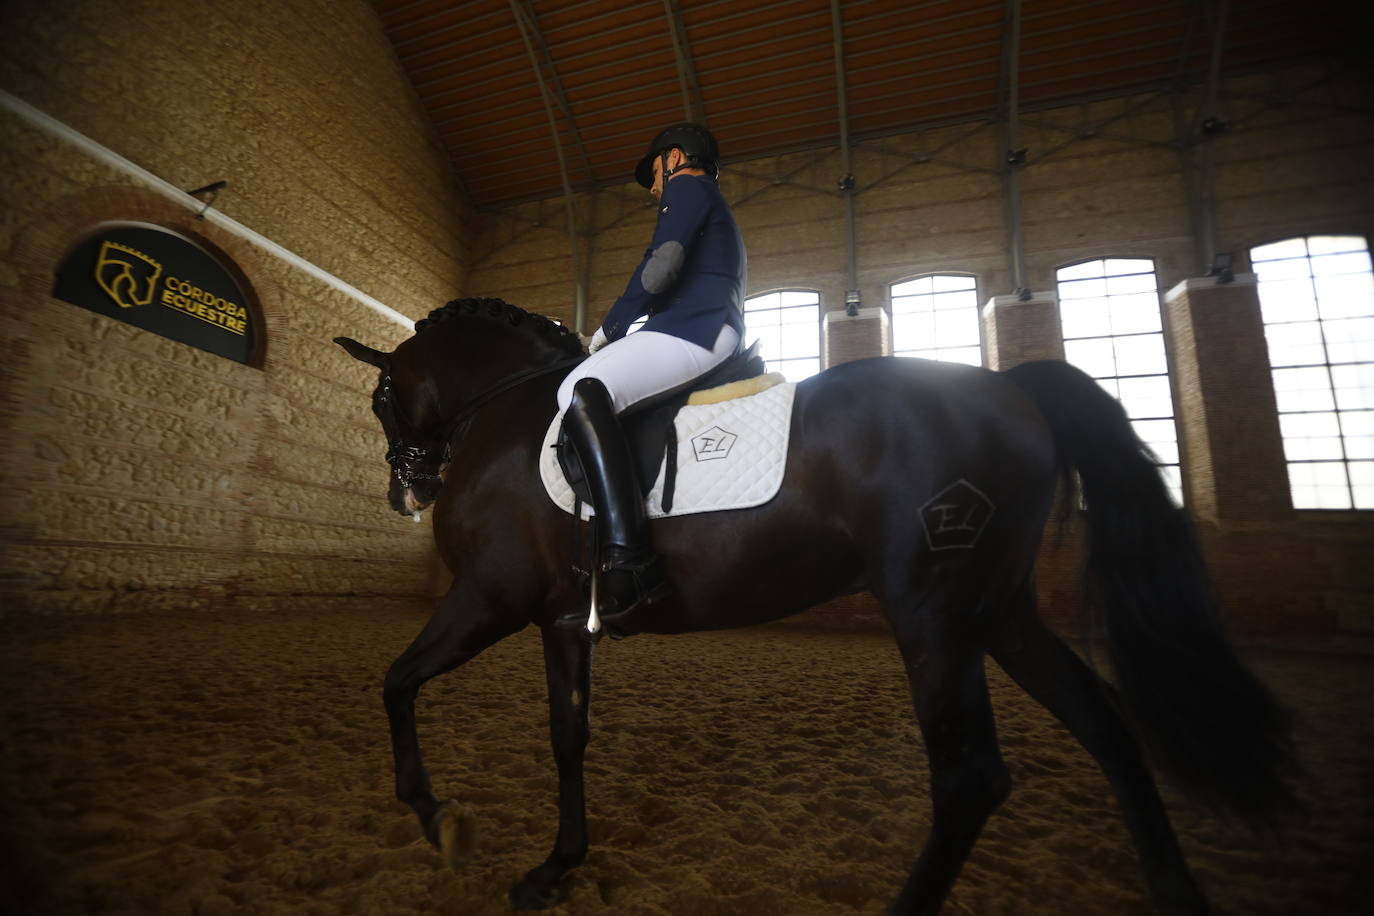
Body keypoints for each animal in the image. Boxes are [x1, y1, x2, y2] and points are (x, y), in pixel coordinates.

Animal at [335, 299, 1297, 916]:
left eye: (381, 398)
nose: (406, 488)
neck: (508, 409)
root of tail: (1013, 389)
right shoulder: (564, 619)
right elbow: (566, 735)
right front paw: (555, 868)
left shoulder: (489, 596)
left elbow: (395, 681)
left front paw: (434, 815)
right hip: (999, 613)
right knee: (1105, 726)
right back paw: (1176, 891)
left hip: (933, 612)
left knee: (971, 778)